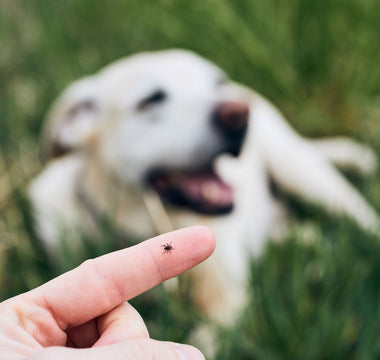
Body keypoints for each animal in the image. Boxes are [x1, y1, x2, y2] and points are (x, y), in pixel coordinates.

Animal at [30, 50, 380, 324]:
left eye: (217, 83)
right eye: (151, 100)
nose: (239, 113)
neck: (142, 225)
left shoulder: (226, 303)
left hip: (300, 170)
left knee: (357, 214)